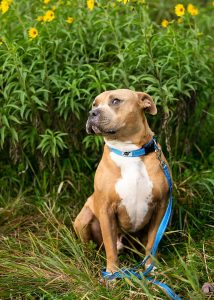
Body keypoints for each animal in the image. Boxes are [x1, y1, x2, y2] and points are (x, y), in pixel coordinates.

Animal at [74, 88, 170, 274]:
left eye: (116, 101)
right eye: (94, 104)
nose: (91, 113)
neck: (129, 152)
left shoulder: (160, 206)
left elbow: (152, 242)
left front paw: (150, 267)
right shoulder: (106, 210)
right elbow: (110, 246)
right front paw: (112, 273)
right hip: (82, 219)